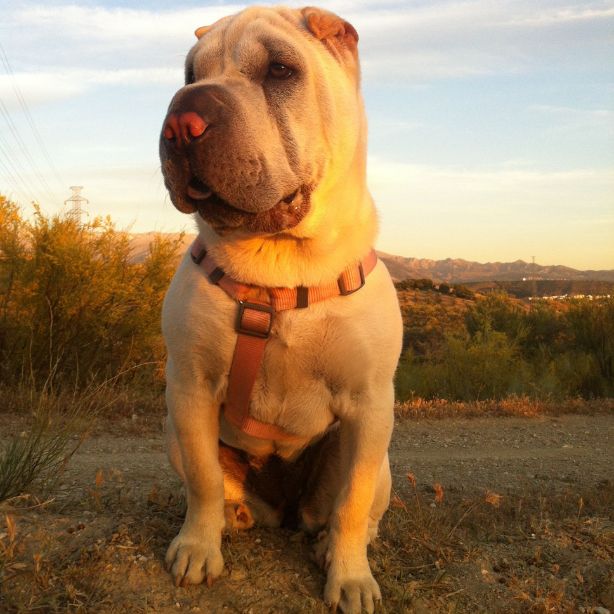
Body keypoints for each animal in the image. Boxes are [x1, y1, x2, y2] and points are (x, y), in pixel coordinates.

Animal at [159, 6, 404, 614]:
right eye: (190, 74)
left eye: (279, 70)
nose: (181, 120)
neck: (280, 262)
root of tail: (288, 511)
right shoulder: (190, 387)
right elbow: (202, 480)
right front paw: (197, 549)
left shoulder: (370, 406)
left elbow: (351, 502)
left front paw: (350, 578)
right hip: (171, 431)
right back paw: (235, 517)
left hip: (381, 460)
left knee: (354, 512)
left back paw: (331, 545)